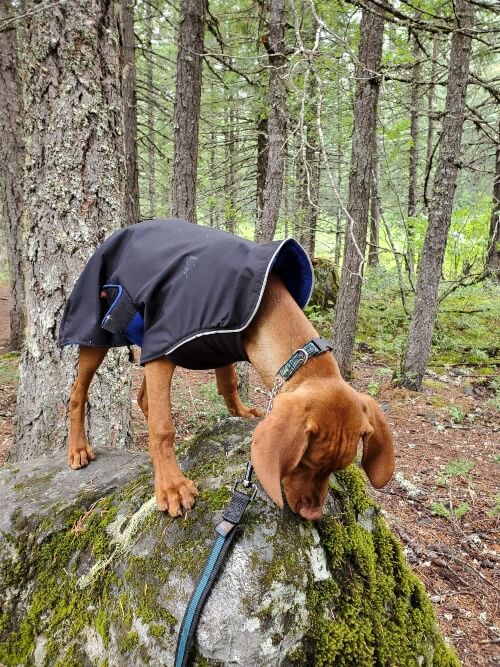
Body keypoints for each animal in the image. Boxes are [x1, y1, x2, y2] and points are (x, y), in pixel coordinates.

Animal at [67, 272, 394, 520]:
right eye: (303, 463)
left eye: (336, 469)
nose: (312, 515)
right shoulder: (163, 346)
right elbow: (162, 428)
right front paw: (172, 485)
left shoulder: (221, 341)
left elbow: (229, 382)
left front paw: (241, 412)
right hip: (97, 335)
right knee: (77, 393)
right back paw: (78, 449)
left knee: (143, 398)